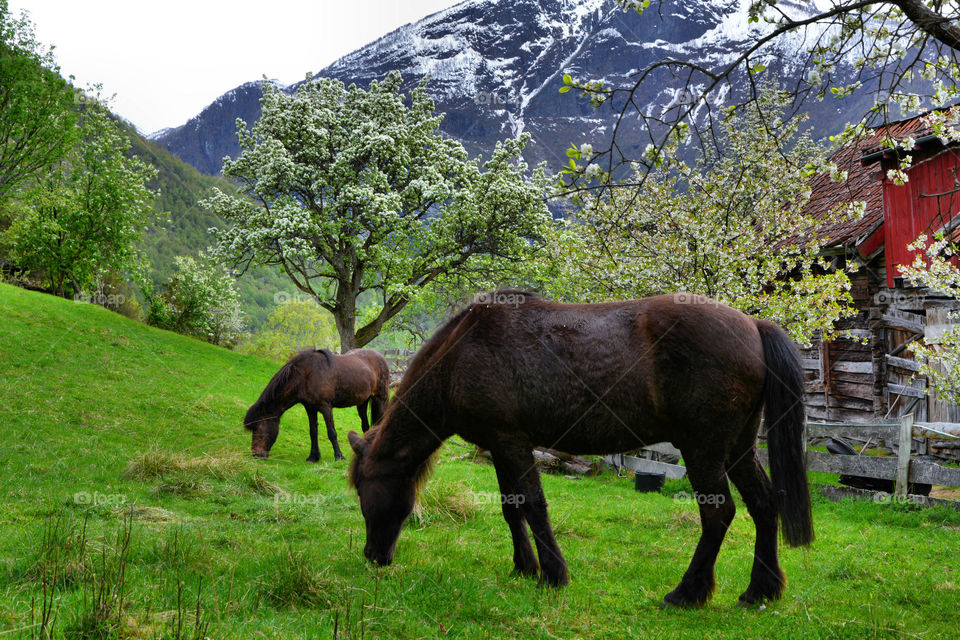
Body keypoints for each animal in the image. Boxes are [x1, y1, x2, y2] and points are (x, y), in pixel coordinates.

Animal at [245, 348, 389, 462]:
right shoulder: (310, 408)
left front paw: (339, 456)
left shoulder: (325, 407)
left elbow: (331, 432)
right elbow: (313, 432)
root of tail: (381, 357)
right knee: (365, 426)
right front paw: (313, 457)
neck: (306, 375)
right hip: (362, 402)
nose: (256, 454)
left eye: (257, 428)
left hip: (380, 398)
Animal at [348, 291, 812, 607]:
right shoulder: (500, 446)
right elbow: (511, 507)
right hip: (738, 447)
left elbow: (532, 505)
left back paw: (687, 592)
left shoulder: (512, 443)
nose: (373, 556)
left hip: (704, 450)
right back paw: (760, 590)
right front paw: (524, 566)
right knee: (764, 504)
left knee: (719, 513)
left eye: (367, 491)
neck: (463, 353)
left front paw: (553, 574)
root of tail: (753, 325)